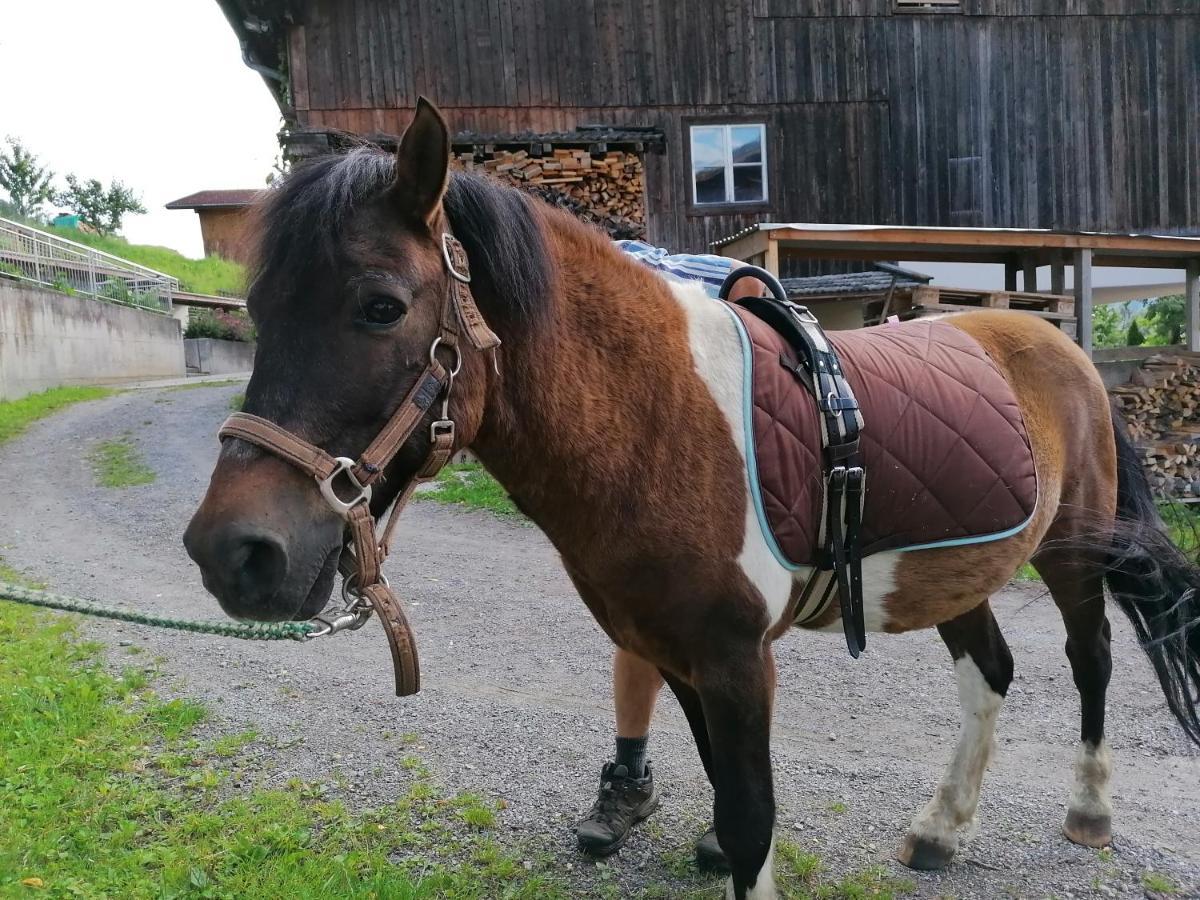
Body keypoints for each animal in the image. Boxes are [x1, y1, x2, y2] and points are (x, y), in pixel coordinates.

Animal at [184, 100, 1200, 900]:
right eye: (259, 313)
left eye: (381, 306)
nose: (234, 553)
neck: (658, 417)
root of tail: (1061, 347)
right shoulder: (675, 652)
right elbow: (725, 796)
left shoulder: (738, 659)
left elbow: (751, 821)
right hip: (957, 570)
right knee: (990, 673)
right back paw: (940, 830)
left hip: (1070, 555)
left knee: (1091, 661)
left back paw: (1089, 811)